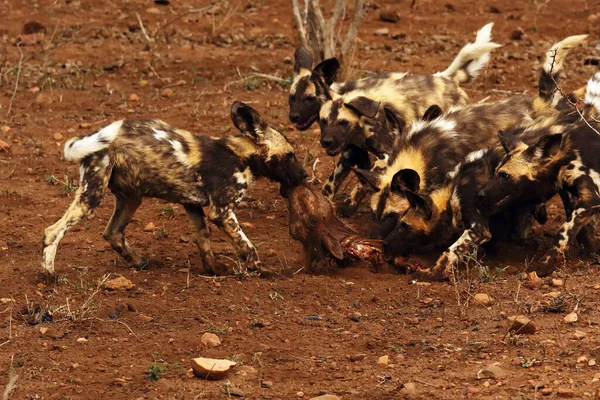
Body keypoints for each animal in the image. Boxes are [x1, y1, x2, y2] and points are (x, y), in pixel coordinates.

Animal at [41, 102, 310, 276]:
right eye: (290, 155)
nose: (305, 175)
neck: (241, 155)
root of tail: (95, 134)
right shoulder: (222, 212)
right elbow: (247, 245)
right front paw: (261, 270)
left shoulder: (192, 204)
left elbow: (203, 238)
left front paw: (213, 269)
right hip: (92, 197)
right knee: (52, 232)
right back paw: (49, 276)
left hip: (131, 198)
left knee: (113, 233)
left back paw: (141, 262)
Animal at [290, 23, 502, 214]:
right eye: (292, 97)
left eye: (310, 99)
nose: (293, 116)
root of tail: (449, 79)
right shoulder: (350, 152)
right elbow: (334, 182)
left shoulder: (385, 155)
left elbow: (368, 182)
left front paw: (350, 206)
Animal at [372, 34, 588, 280]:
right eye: (377, 215)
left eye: (402, 223)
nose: (383, 242)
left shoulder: (477, 227)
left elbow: (451, 251)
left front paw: (434, 272)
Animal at [480, 70, 600, 276]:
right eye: (495, 172)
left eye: (505, 175)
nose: (481, 194)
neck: (564, 158)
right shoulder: (574, 196)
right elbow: (581, 230)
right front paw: (592, 253)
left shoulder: (591, 198)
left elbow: (562, 233)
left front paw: (544, 265)